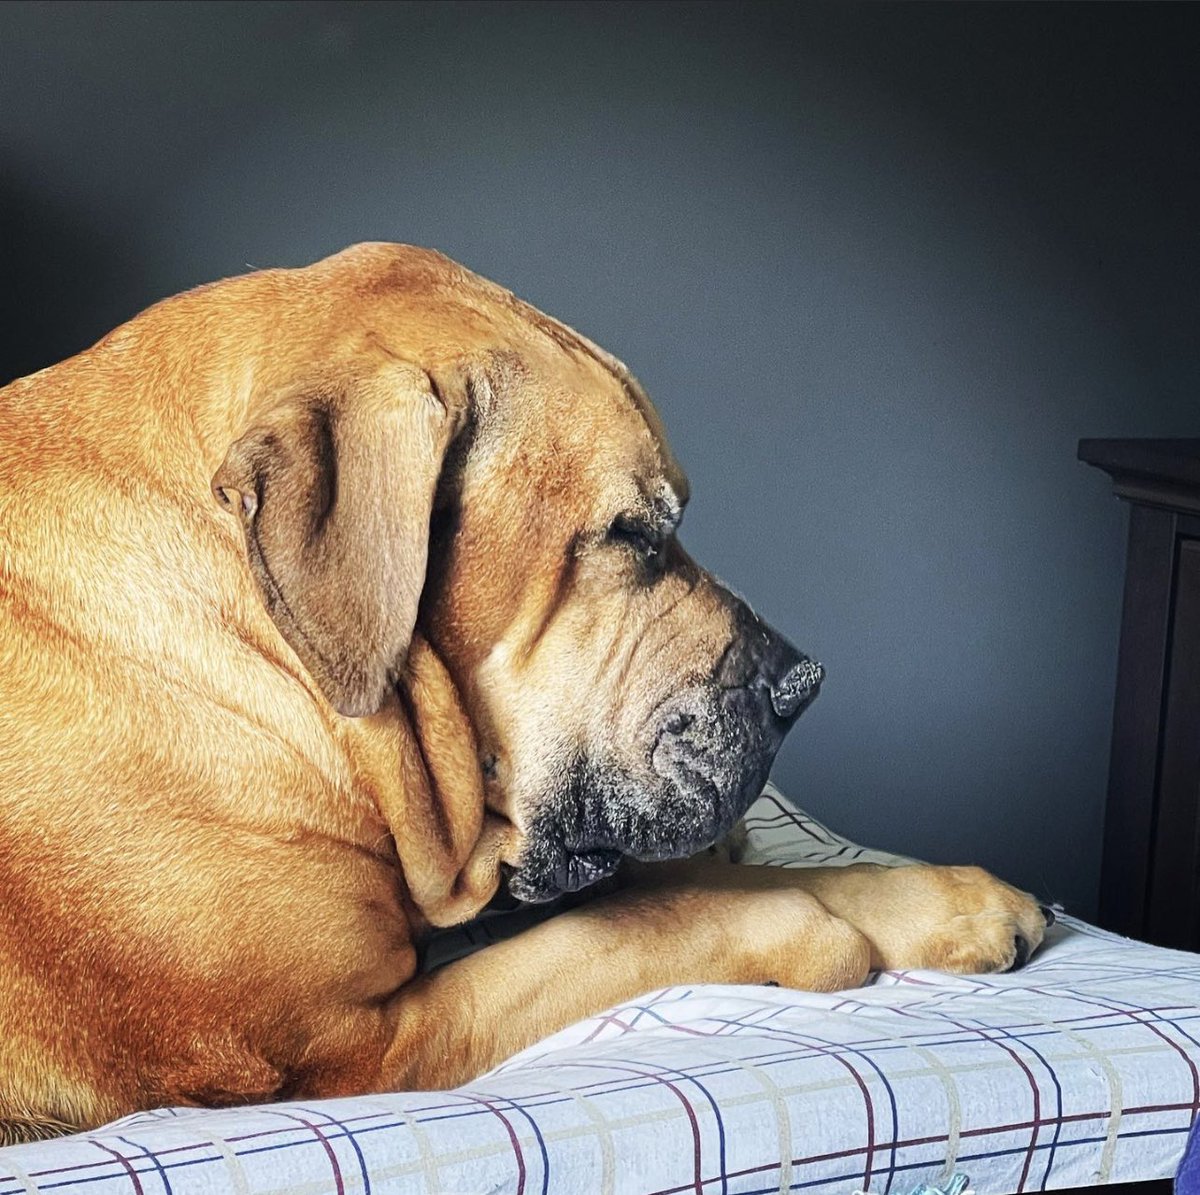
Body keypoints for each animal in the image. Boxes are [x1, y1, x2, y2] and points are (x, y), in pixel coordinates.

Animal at [0, 239, 1051, 1137]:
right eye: (632, 535)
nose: (803, 684)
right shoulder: (356, 1049)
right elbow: (646, 917)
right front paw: (820, 924)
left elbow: (661, 883)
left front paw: (940, 897)